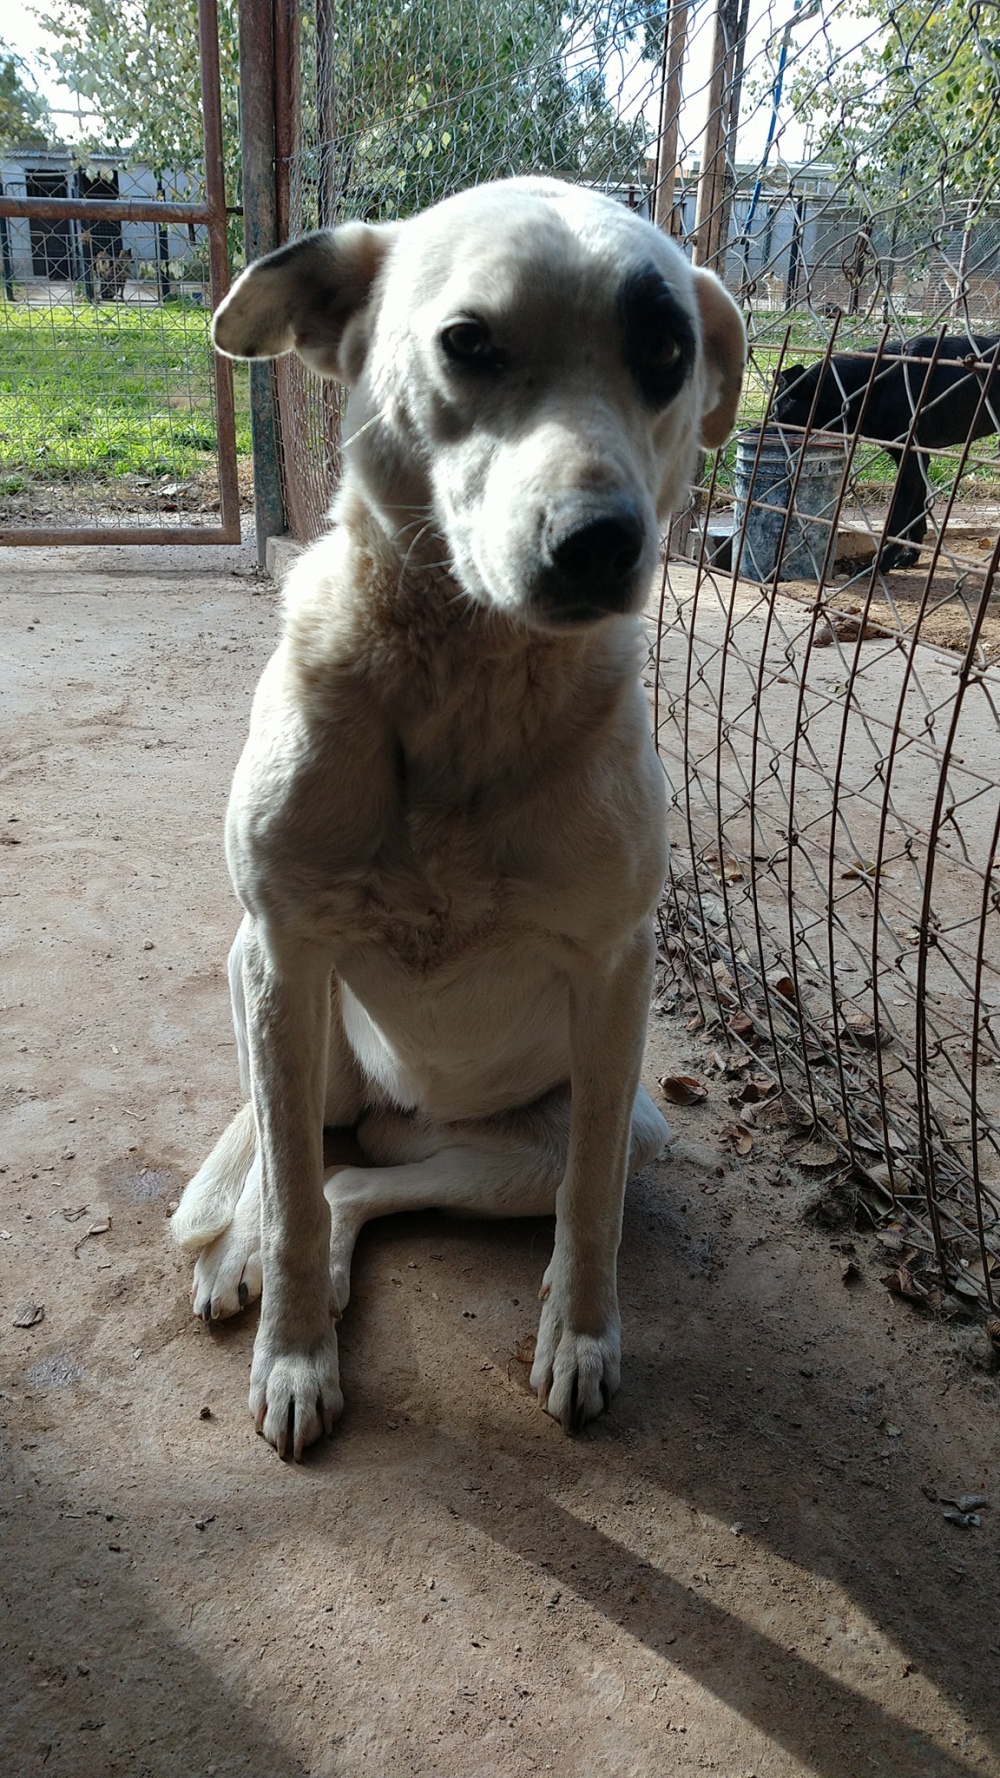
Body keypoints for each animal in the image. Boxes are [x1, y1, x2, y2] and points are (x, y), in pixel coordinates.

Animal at [170, 180, 740, 1457]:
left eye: (666, 352)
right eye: (468, 342)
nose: (602, 541)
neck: (468, 688)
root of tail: (403, 1109)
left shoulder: (615, 971)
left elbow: (590, 1204)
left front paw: (582, 1334)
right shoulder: (281, 949)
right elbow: (285, 1193)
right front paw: (294, 1351)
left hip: (589, 1125)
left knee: (363, 1182)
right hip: (274, 1005)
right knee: (293, 1151)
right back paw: (241, 1246)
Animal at [772, 336, 996, 565]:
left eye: (780, 418)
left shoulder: (911, 460)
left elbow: (896, 520)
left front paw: (880, 564)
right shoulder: (914, 459)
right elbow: (916, 515)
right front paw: (910, 555)